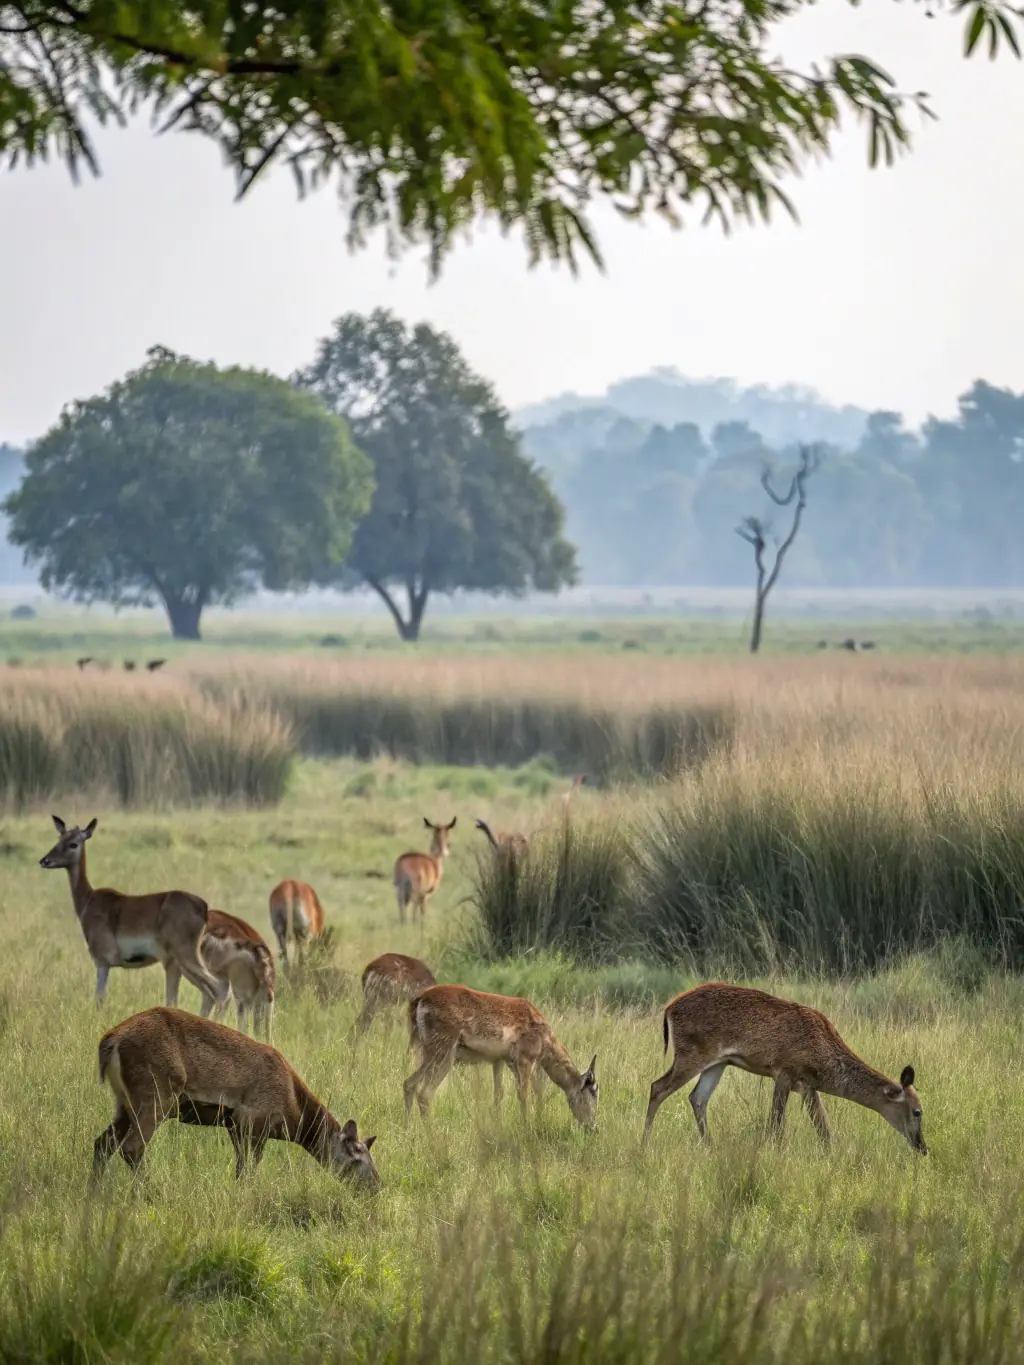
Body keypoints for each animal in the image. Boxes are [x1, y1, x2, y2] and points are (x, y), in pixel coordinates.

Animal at [39, 816, 228, 1013]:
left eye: (73, 844)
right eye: (59, 839)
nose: (45, 860)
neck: (89, 900)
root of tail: (203, 907)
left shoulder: (102, 962)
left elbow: (99, 999)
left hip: (184, 959)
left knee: (220, 989)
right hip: (181, 966)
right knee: (208, 994)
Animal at [91, 1006, 380, 1187]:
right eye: (357, 1156)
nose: (376, 1185)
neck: (293, 1114)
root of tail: (110, 1042)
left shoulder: (234, 1125)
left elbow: (241, 1170)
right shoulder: (253, 1121)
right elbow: (249, 1169)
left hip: (123, 1103)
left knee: (102, 1143)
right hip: (155, 1095)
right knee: (132, 1147)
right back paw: (150, 1193)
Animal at [404, 984, 598, 1126]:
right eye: (594, 1090)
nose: (592, 1126)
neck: (546, 1039)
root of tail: (419, 1000)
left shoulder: (499, 1060)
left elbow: (500, 1094)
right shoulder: (525, 1060)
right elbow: (525, 1093)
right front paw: (526, 1126)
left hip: (426, 1052)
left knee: (409, 1083)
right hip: (443, 1053)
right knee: (424, 1092)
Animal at [643, 982, 926, 1154]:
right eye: (917, 1111)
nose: (923, 1147)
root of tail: (669, 1008)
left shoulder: (807, 1085)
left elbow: (824, 1127)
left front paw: (831, 1157)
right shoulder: (783, 1071)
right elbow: (777, 1124)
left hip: (718, 1062)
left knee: (697, 1097)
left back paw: (710, 1146)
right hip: (691, 1054)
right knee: (658, 1087)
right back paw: (644, 1143)